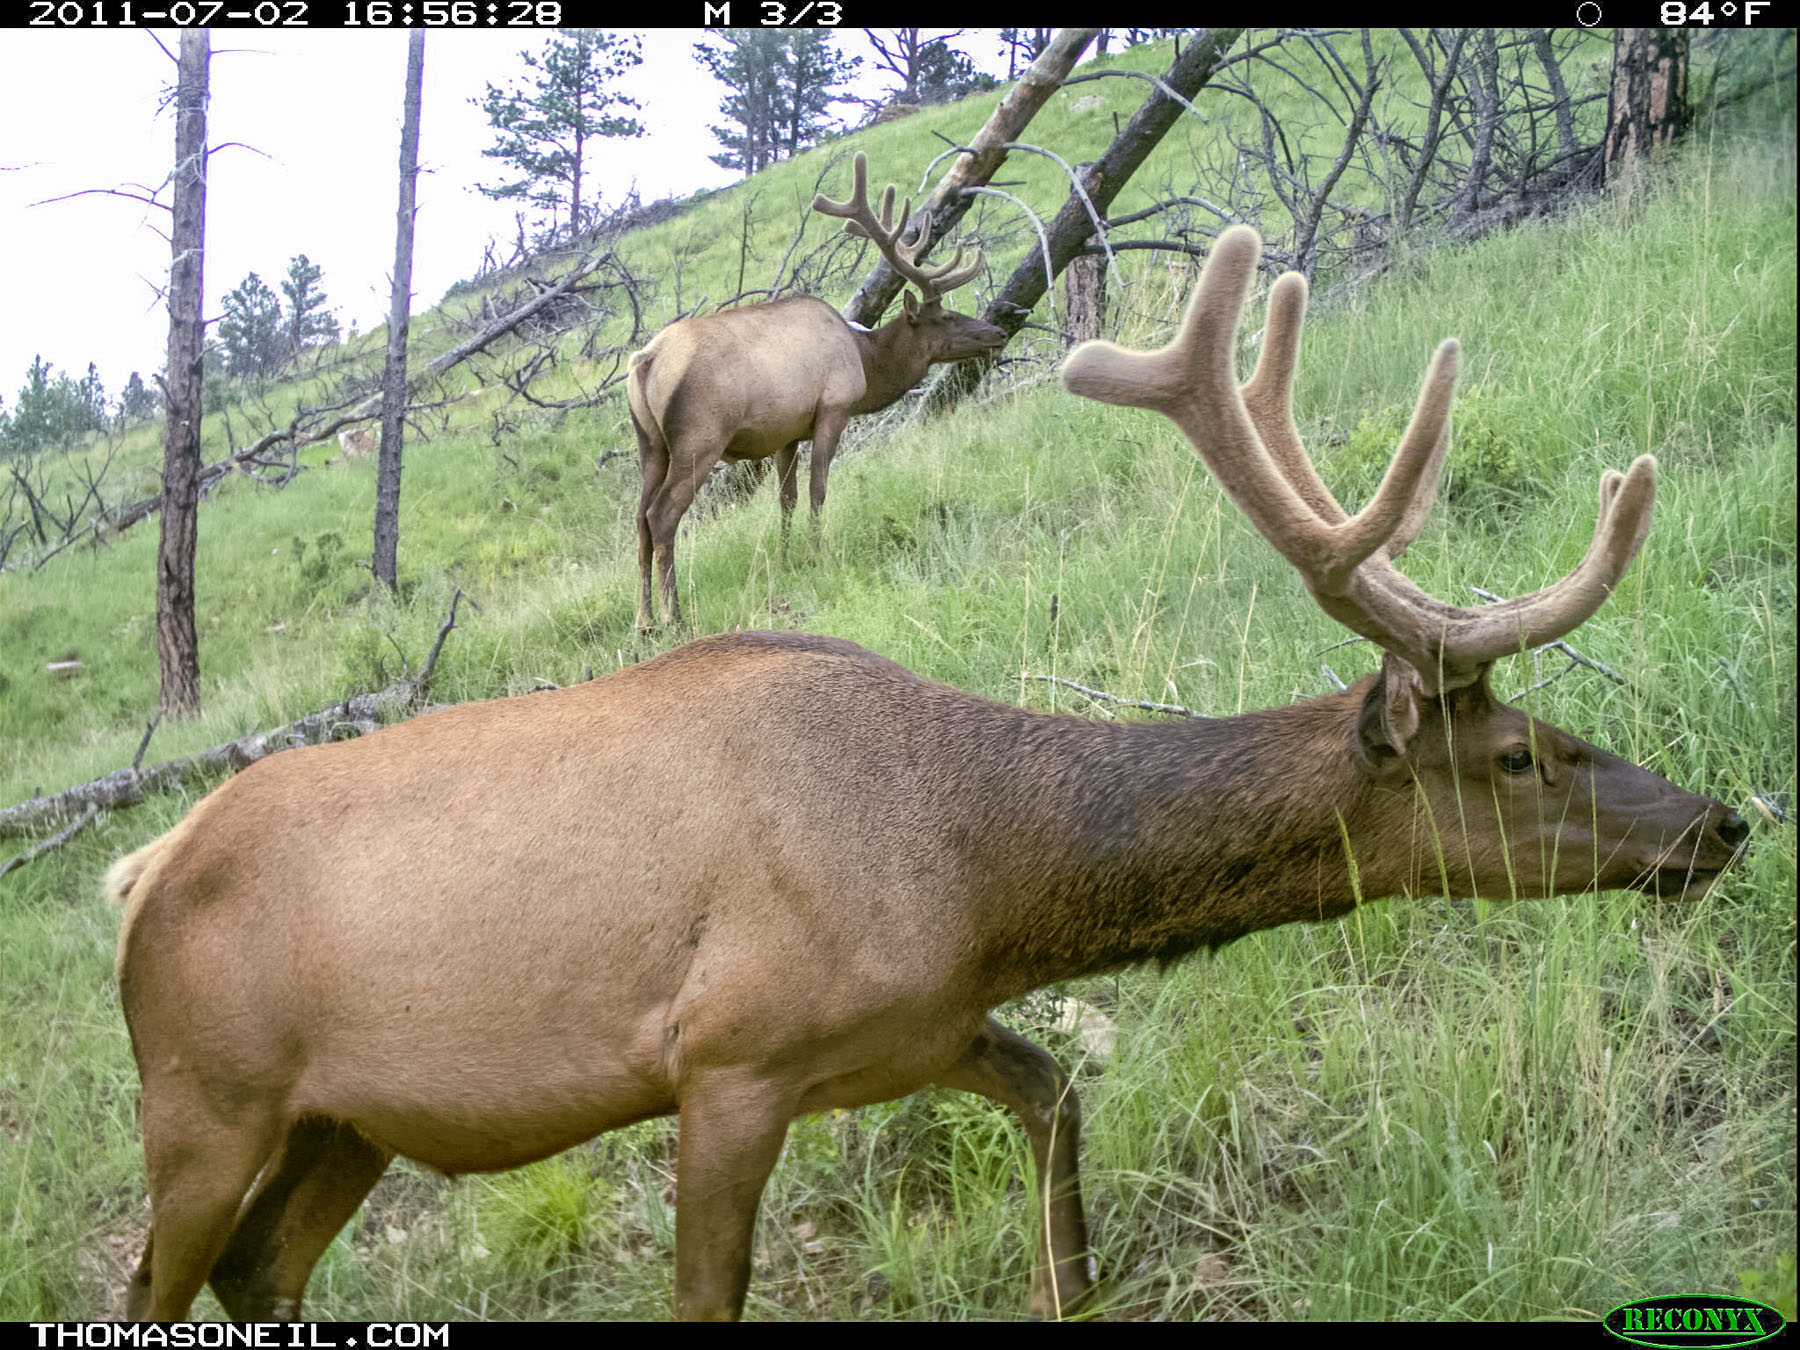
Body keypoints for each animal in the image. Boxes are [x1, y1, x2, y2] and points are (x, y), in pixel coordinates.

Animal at [108, 225, 1747, 1323]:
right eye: (1527, 753)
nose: (1720, 820)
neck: (980, 874)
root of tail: (136, 875)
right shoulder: (730, 1058)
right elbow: (708, 1295)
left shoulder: (926, 1027)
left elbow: (1062, 1102)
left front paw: (1071, 1289)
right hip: (202, 1095)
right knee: (155, 1282)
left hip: (344, 1119)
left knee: (256, 1270)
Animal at [628, 152, 1005, 628]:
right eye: (947, 318)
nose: (997, 331)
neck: (867, 362)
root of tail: (646, 362)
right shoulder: (833, 408)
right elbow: (817, 489)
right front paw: (815, 554)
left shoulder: (786, 432)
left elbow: (786, 498)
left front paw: (785, 557)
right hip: (699, 438)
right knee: (663, 515)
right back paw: (673, 615)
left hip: (650, 445)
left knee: (639, 517)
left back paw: (642, 618)